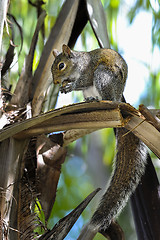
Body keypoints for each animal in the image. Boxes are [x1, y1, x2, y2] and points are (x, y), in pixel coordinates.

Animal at [51, 45, 148, 238]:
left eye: (61, 65)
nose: (56, 82)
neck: (77, 65)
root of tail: (118, 100)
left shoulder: (88, 72)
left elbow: (83, 81)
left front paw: (70, 86)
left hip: (103, 76)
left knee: (104, 93)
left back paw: (101, 100)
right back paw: (90, 99)